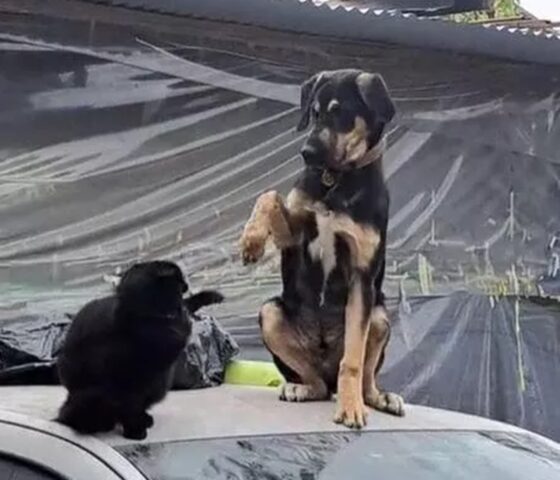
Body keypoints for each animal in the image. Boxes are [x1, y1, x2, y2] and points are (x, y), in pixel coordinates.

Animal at [238, 69, 404, 430]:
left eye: (340, 112)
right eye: (314, 113)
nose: (306, 153)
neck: (336, 179)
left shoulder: (361, 276)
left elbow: (352, 362)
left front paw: (352, 409)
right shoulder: (294, 236)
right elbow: (270, 196)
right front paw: (252, 241)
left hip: (380, 317)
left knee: (361, 377)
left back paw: (379, 398)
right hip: (270, 313)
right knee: (314, 382)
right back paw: (299, 388)